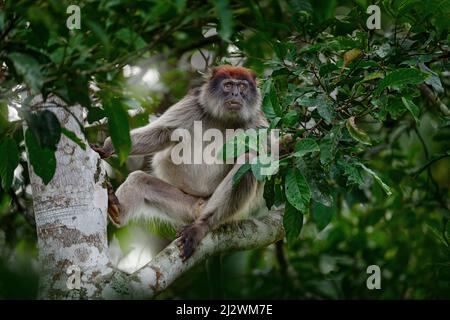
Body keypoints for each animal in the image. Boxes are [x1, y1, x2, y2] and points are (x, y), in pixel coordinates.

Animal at [92, 64, 270, 260]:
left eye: (243, 87)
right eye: (228, 85)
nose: (236, 94)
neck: (225, 119)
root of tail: (201, 207)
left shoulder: (257, 123)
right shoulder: (193, 104)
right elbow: (162, 132)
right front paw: (108, 147)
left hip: (229, 211)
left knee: (248, 160)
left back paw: (202, 225)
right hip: (187, 206)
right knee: (139, 179)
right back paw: (117, 209)